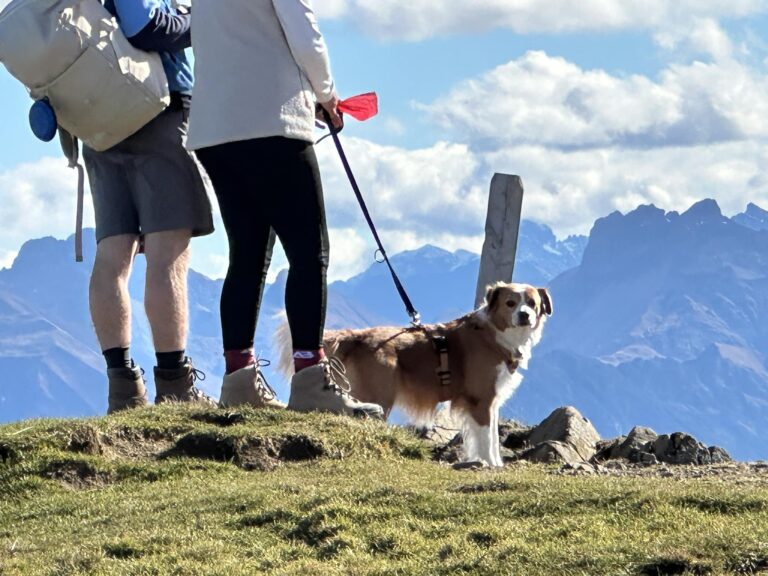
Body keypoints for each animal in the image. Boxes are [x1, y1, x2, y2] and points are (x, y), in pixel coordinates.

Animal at [278, 284, 552, 468]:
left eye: (532, 303)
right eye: (510, 303)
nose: (525, 315)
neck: (493, 333)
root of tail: (358, 336)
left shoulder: (491, 402)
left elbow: (493, 436)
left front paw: (495, 463)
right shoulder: (479, 400)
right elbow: (485, 438)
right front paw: (490, 465)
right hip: (380, 396)